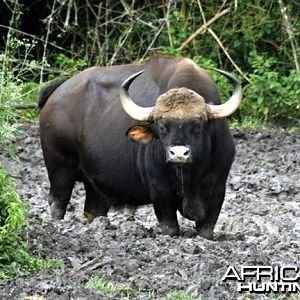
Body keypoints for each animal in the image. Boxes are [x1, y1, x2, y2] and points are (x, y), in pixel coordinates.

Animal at [39, 54, 241, 239]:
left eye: (197, 125)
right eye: (162, 127)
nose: (178, 154)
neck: (190, 175)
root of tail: (56, 94)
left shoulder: (217, 190)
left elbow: (206, 230)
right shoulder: (160, 191)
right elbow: (170, 228)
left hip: (93, 183)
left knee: (93, 208)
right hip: (60, 168)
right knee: (58, 201)